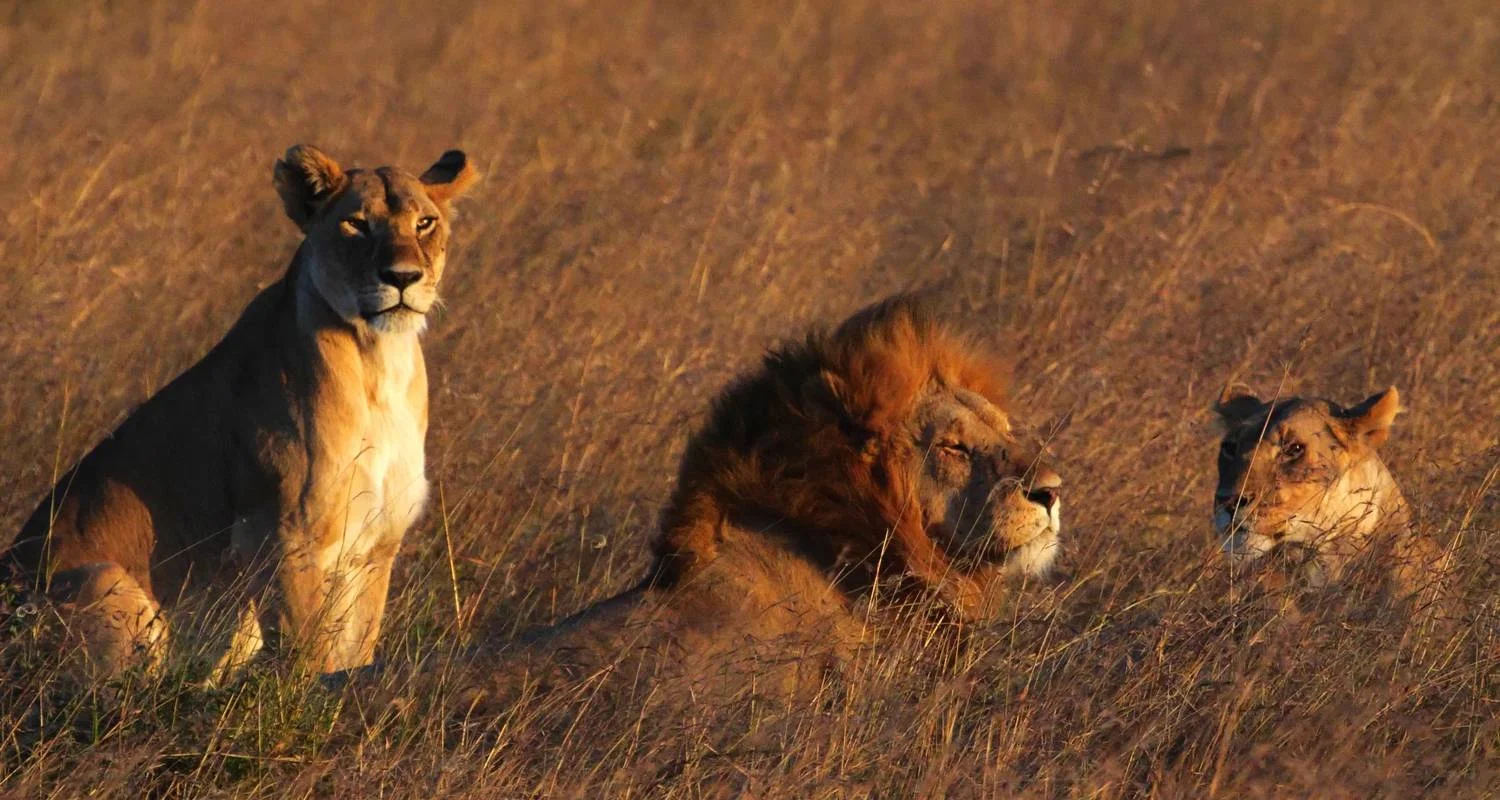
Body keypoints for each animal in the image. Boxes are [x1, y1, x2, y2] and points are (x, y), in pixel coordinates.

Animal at [2, 144, 478, 682]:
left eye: (424, 223)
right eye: (357, 224)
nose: (401, 277)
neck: (380, 361)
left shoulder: (377, 544)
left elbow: (356, 649)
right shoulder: (280, 532)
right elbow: (306, 655)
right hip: (105, 580)